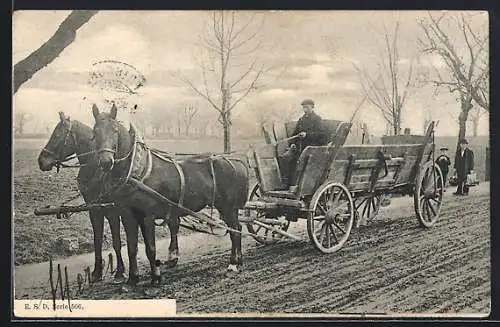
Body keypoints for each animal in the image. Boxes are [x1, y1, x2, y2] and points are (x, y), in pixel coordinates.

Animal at [37, 111, 127, 284]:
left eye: (57, 134)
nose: (41, 161)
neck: (96, 169)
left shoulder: (112, 211)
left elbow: (117, 241)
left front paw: (120, 271)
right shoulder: (94, 210)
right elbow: (97, 240)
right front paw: (97, 273)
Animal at [91, 104, 249, 288]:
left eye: (115, 130)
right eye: (95, 131)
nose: (106, 162)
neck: (138, 170)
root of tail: (237, 162)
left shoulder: (148, 216)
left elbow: (150, 248)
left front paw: (156, 277)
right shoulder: (128, 215)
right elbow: (132, 248)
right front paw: (132, 279)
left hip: (227, 207)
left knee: (235, 230)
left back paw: (233, 264)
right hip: (227, 208)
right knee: (237, 228)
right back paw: (239, 261)